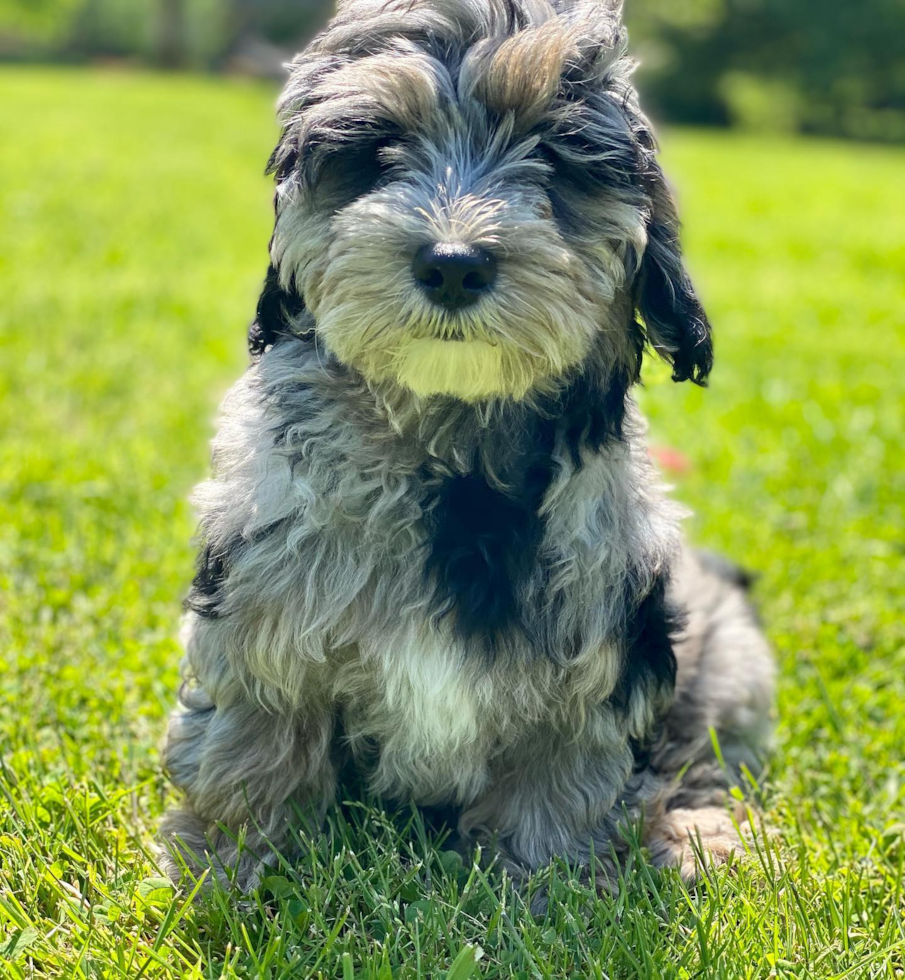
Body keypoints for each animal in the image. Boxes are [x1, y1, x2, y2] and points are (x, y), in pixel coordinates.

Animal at [159, 0, 772, 900]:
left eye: (551, 157)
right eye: (379, 150)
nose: (452, 264)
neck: (451, 435)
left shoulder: (597, 633)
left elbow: (561, 774)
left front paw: (540, 888)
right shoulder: (262, 599)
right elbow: (253, 735)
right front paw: (232, 869)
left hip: (728, 661)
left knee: (694, 755)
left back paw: (689, 836)